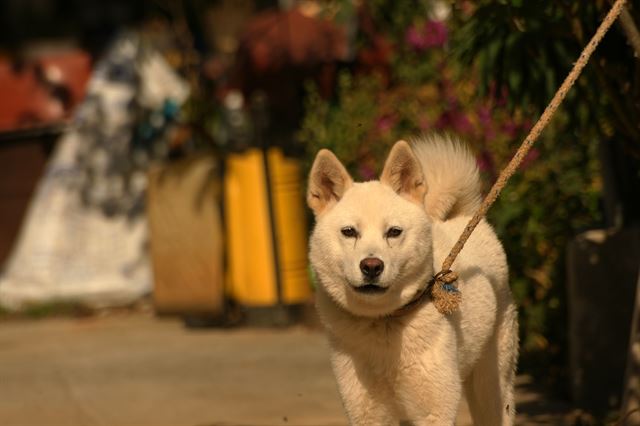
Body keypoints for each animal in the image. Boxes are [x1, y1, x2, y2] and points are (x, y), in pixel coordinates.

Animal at [306, 137, 520, 426]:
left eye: (394, 232)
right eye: (349, 232)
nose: (371, 266)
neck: (384, 323)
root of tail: (463, 218)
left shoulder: (435, 411)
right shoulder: (368, 414)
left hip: (491, 388)